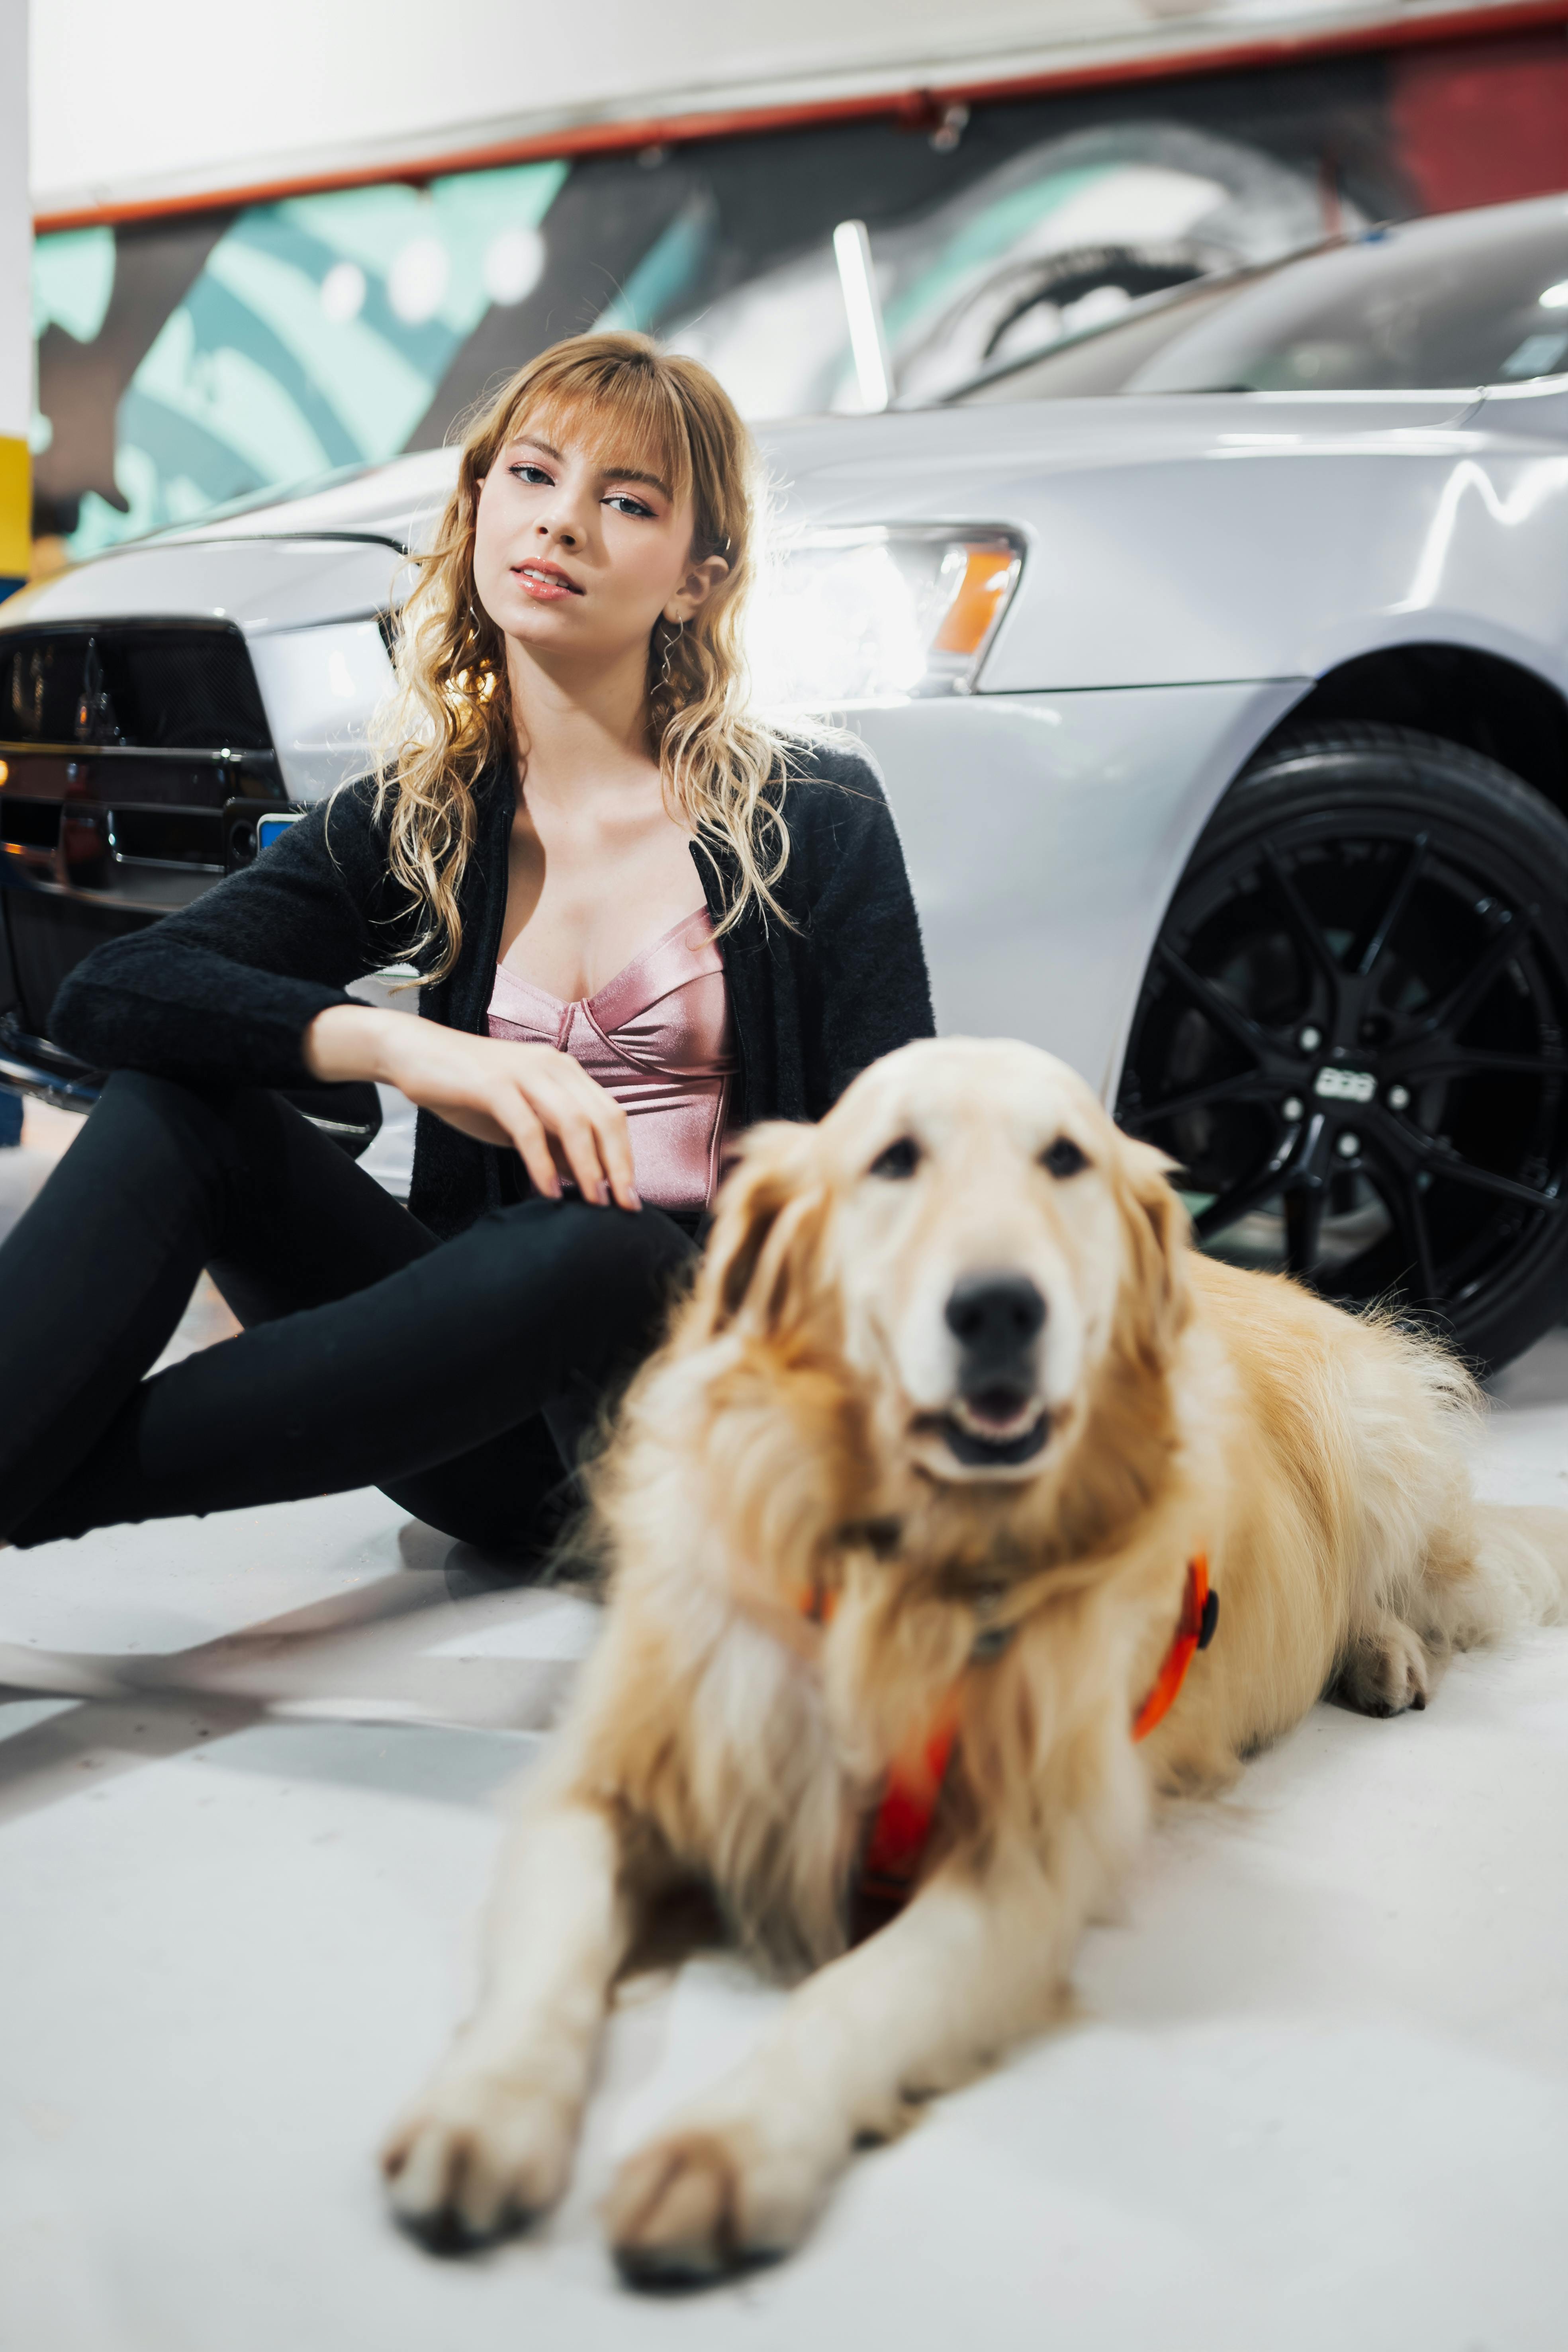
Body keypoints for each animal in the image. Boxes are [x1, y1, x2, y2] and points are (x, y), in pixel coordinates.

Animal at [383, 1035, 1568, 2277]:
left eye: (1066, 1159)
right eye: (895, 1158)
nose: (1000, 1307)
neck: (896, 1574)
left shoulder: (1023, 1859)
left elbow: (855, 1997)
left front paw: (731, 2144)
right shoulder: (614, 1778)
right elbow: (549, 1956)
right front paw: (482, 2110)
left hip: (1382, 1437)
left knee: (1419, 1583)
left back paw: (1382, 1649)